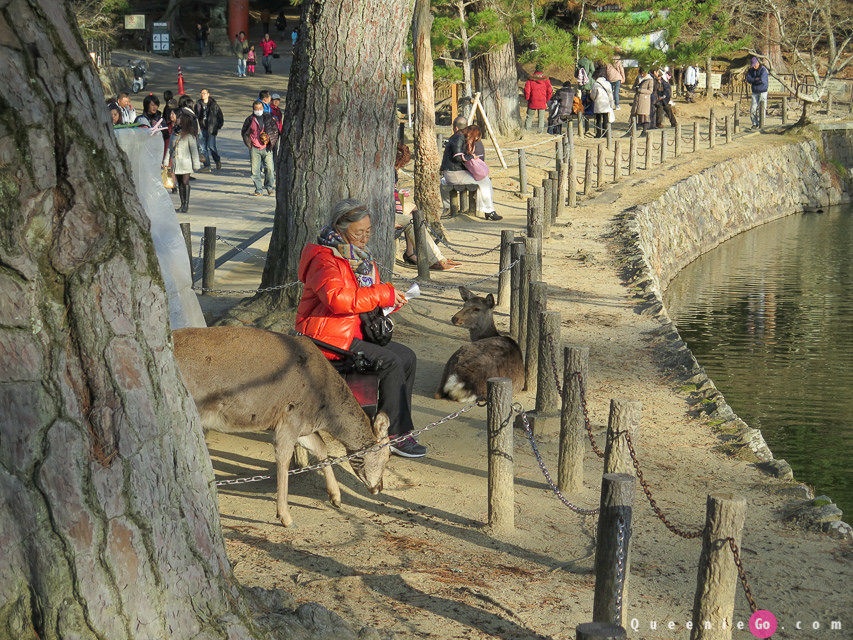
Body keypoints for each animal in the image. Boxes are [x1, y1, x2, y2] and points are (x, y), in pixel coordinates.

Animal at [172, 328, 390, 528]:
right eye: (387, 455)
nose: (379, 487)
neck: (324, 410)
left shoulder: (301, 424)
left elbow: (320, 446)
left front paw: (336, 497)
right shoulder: (290, 417)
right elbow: (283, 459)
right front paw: (285, 516)